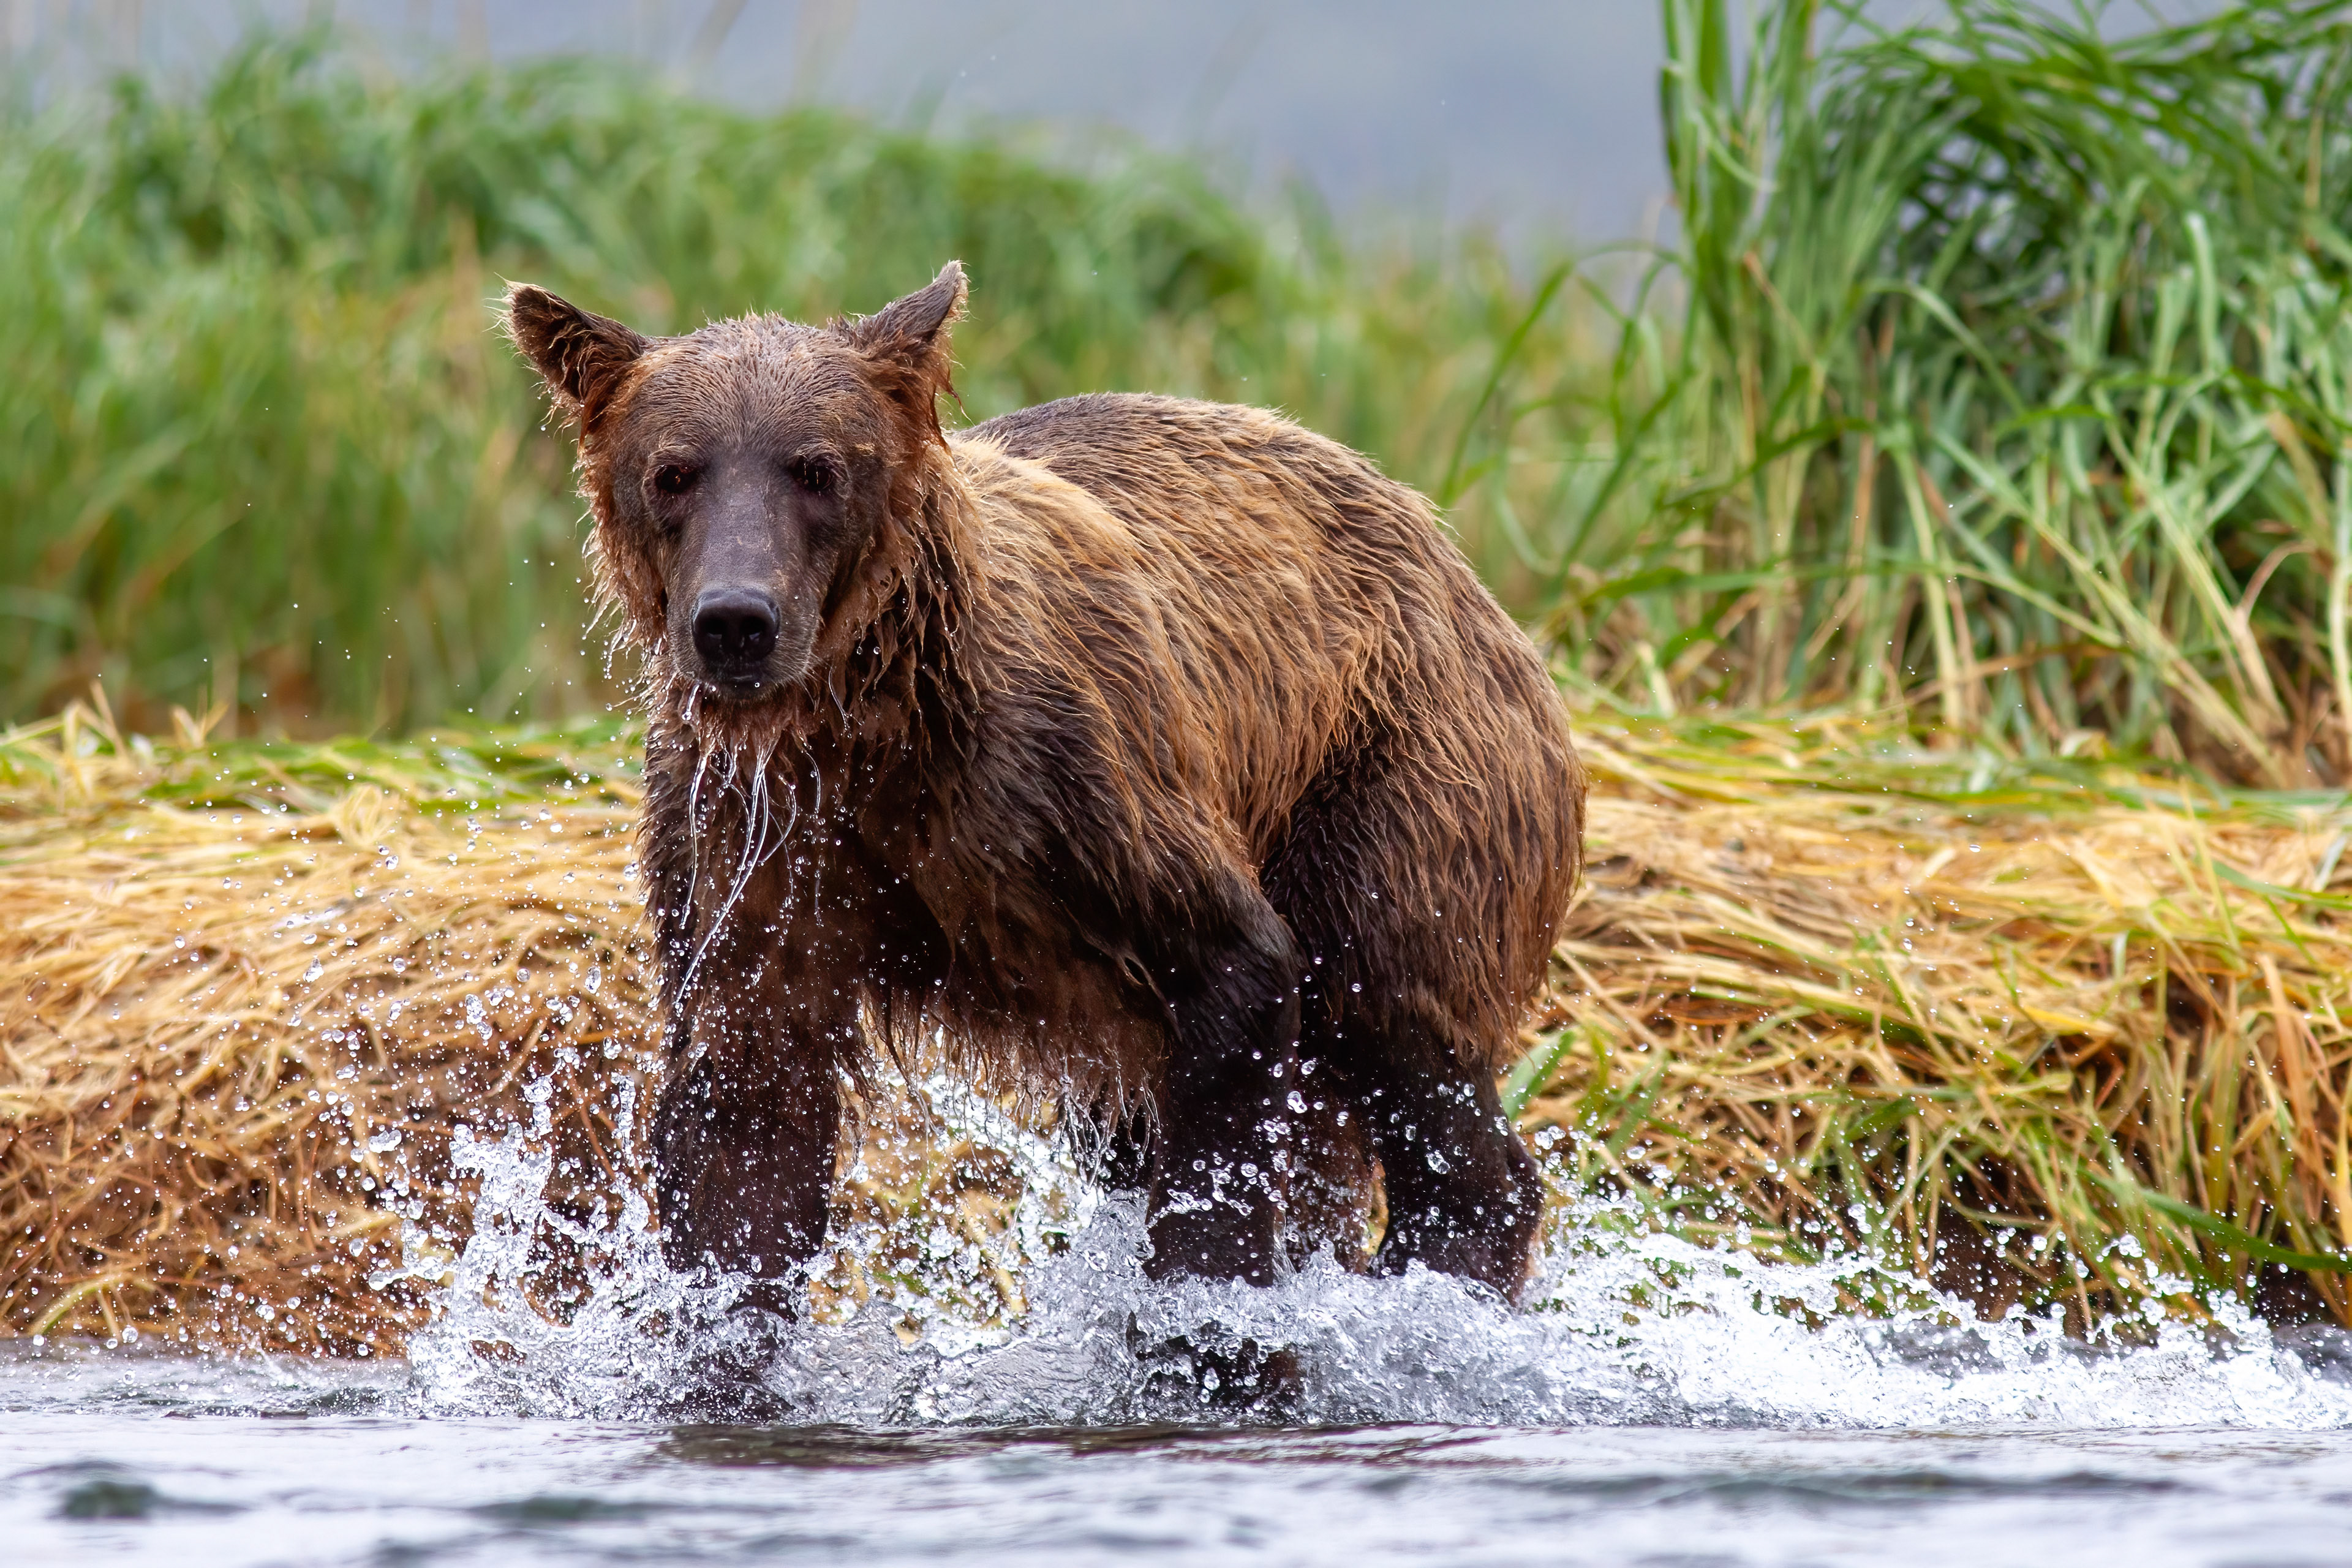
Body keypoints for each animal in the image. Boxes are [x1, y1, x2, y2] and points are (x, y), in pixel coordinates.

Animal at [504, 262, 1585, 1301]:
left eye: (816, 469)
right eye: (673, 472)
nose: (736, 621)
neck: (865, 734)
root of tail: (1458, 563)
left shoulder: (1065, 790)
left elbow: (1240, 982)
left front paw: (1205, 1307)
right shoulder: (758, 845)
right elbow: (748, 1110)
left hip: (1390, 768)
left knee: (1399, 1022)